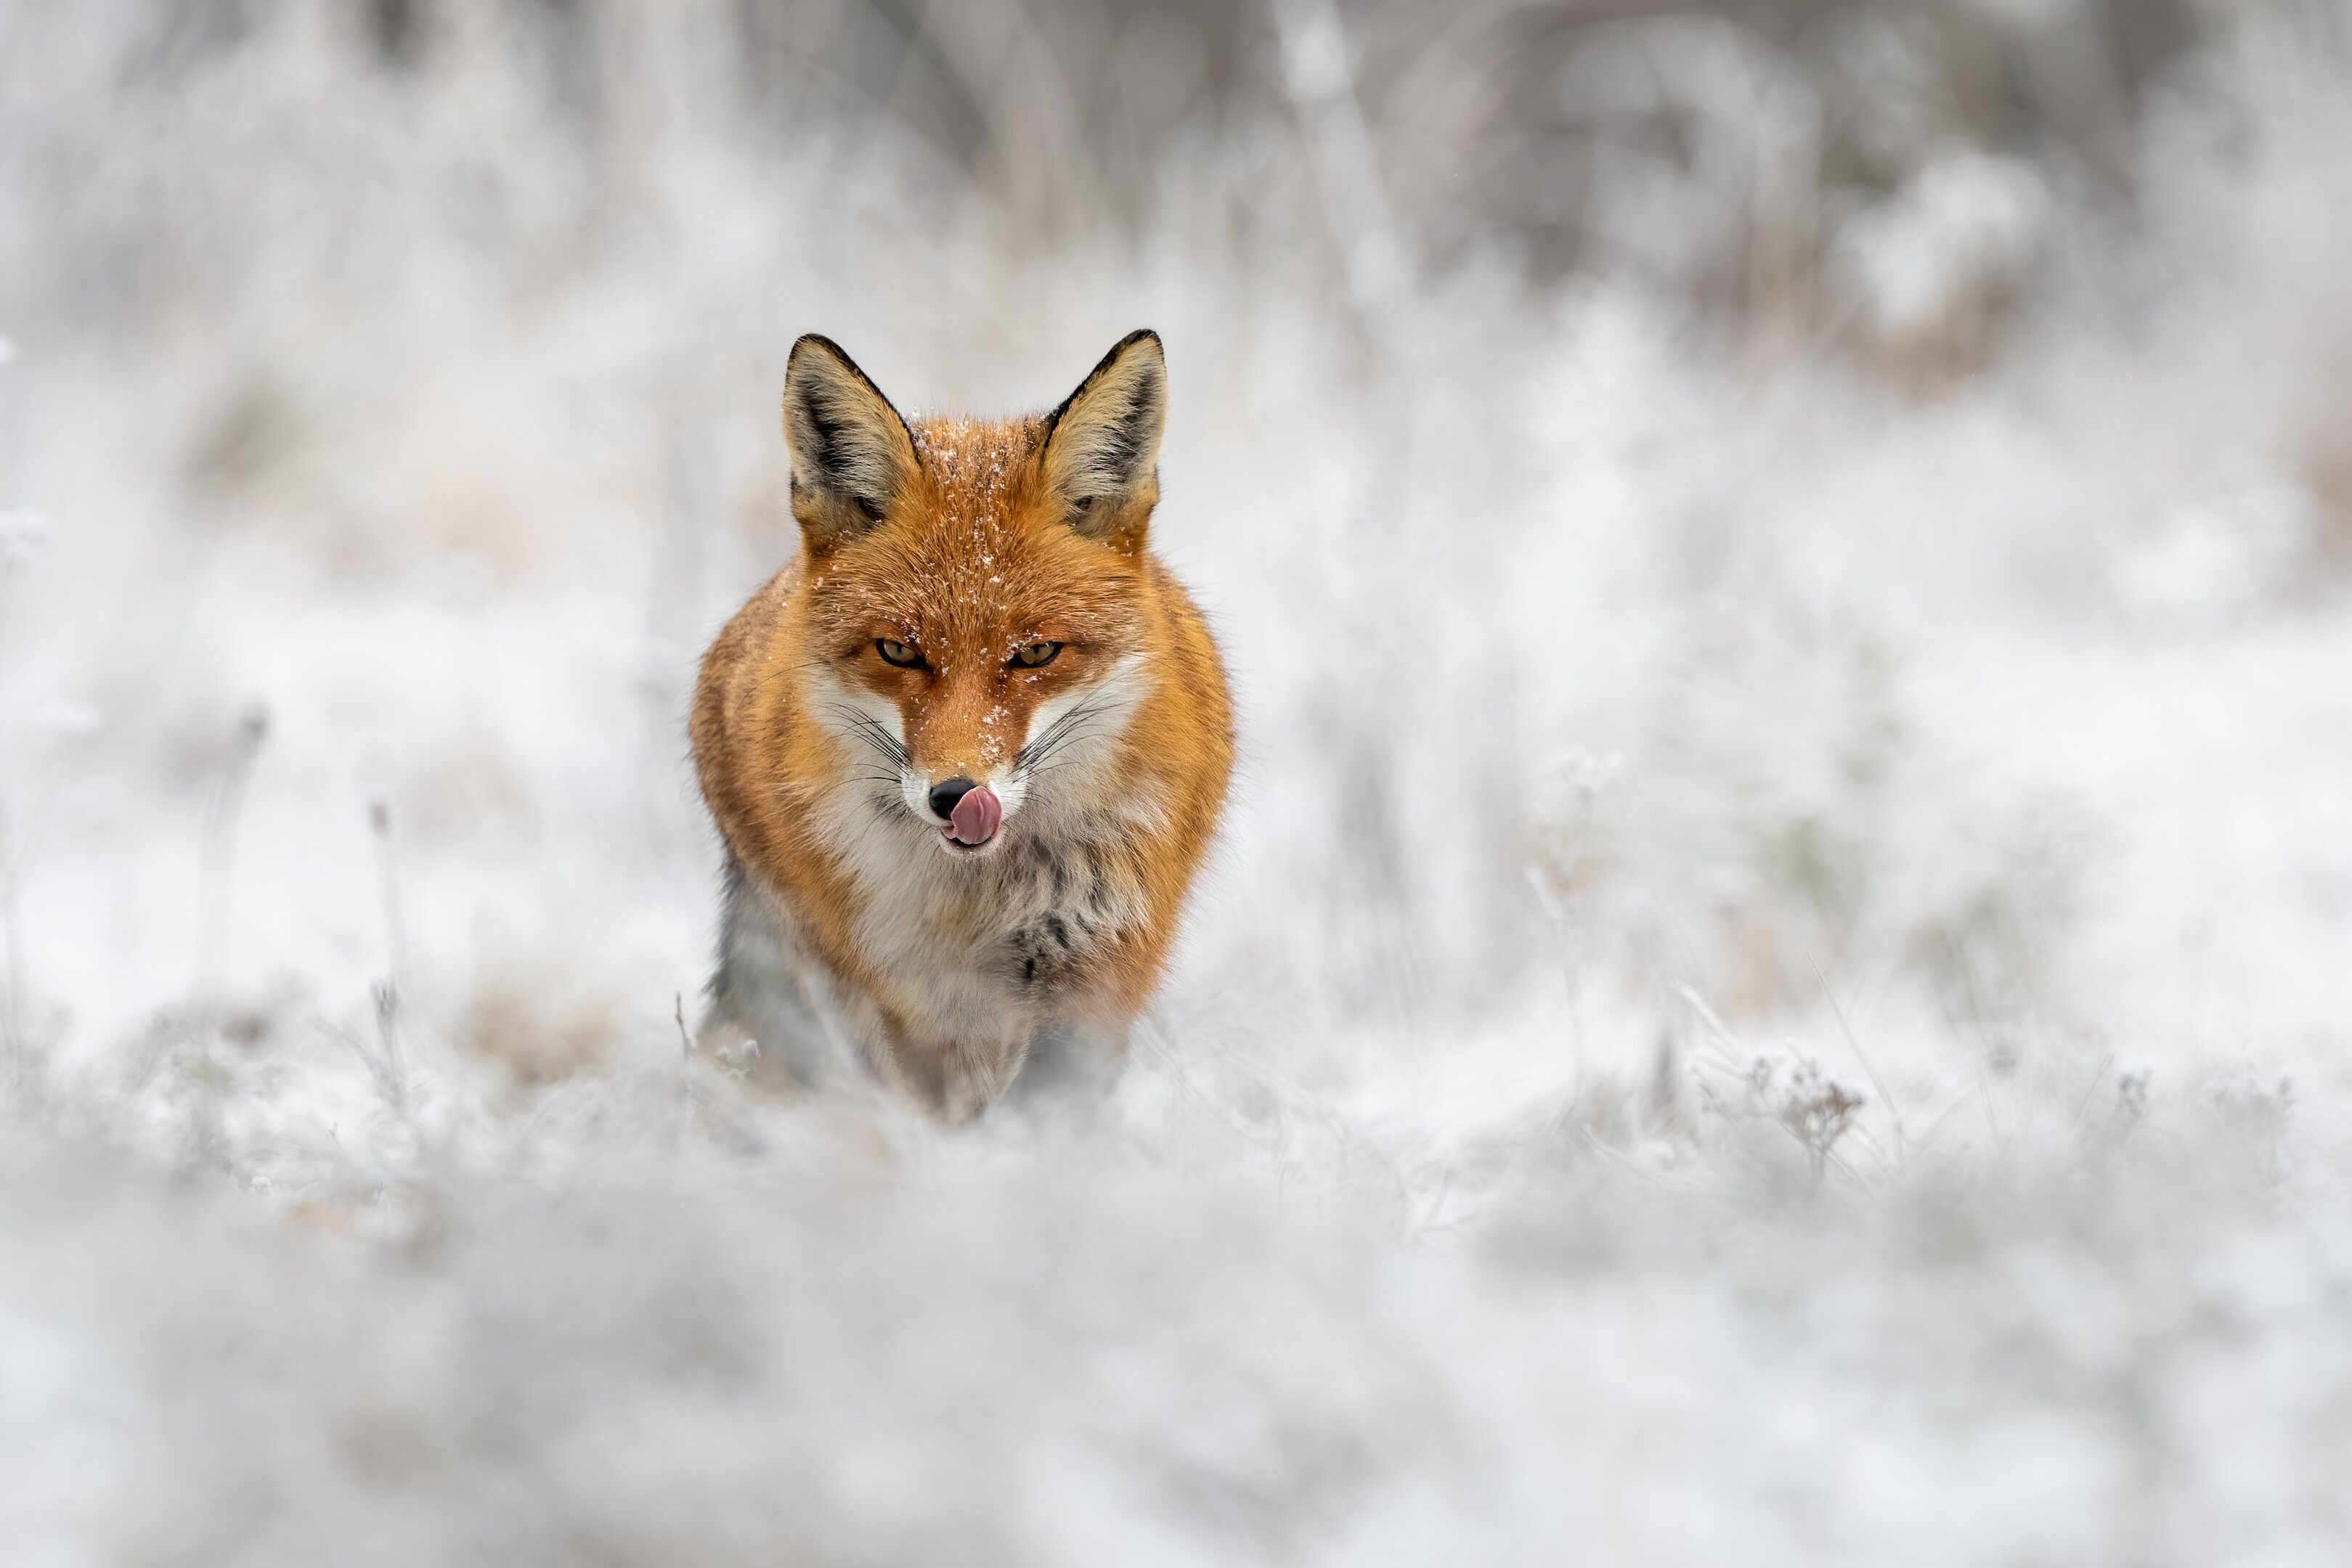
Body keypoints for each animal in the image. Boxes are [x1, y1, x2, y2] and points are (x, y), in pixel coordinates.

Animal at [686, 333, 1232, 1114]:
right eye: (899, 652)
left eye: (1034, 653)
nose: (955, 796)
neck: (979, 901)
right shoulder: (905, 994)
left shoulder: (1094, 969)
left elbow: (1046, 1116)